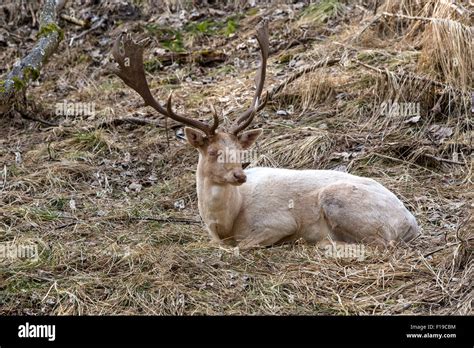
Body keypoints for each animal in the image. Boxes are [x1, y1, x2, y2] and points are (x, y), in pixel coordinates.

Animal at [110, 21, 418, 250]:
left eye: (240, 151)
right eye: (213, 152)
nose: (239, 175)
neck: (225, 223)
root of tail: (410, 221)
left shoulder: (277, 222)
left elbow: (240, 247)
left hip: (340, 201)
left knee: (380, 244)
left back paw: (321, 244)